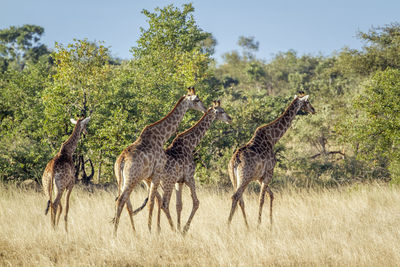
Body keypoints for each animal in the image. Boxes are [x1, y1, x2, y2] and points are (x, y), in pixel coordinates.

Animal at [112, 88, 206, 237]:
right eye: (197, 99)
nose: (204, 109)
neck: (162, 137)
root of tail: (121, 160)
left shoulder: (150, 176)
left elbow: (154, 201)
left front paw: (153, 229)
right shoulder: (157, 172)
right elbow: (152, 202)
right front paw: (151, 231)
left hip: (120, 179)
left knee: (123, 201)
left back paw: (128, 232)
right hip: (132, 179)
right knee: (122, 200)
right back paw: (115, 234)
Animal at [132, 100, 231, 234]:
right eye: (222, 111)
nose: (230, 119)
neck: (190, 144)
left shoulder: (179, 181)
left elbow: (179, 205)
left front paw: (180, 228)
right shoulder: (189, 177)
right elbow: (196, 202)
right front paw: (184, 229)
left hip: (152, 183)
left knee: (157, 201)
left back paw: (160, 229)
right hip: (166, 182)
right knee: (164, 204)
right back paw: (170, 229)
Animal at [228, 93, 316, 228]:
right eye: (307, 101)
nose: (313, 110)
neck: (273, 138)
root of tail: (234, 161)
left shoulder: (260, 177)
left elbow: (272, 195)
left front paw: (270, 223)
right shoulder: (269, 172)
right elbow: (261, 199)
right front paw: (259, 224)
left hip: (234, 178)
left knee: (240, 199)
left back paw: (246, 226)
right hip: (245, 178)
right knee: (235, 197)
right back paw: (228, 226)